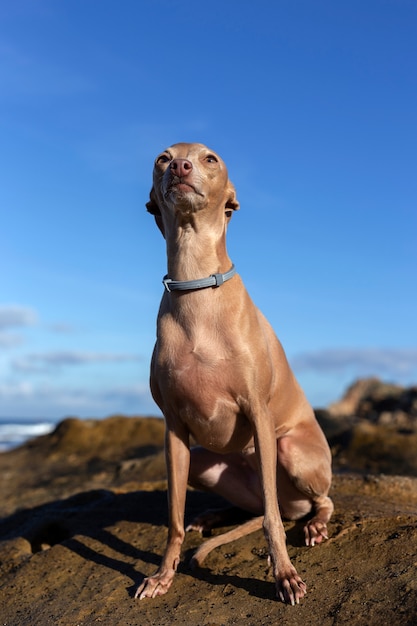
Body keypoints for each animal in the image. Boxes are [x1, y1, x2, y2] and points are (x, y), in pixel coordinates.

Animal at [135, 143, 334, 604]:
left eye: (210, 158)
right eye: (161, 157)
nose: (180, 167)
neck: (196, 289)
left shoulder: (258, 413)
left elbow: (272, 523)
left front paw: (284, 576)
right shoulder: (173, 431)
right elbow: (173, 519)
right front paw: (162, 575)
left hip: (289, 450)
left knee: (309, 504)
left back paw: (314, 525)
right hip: (204, 463)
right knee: (255, 506)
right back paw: (210, 516)